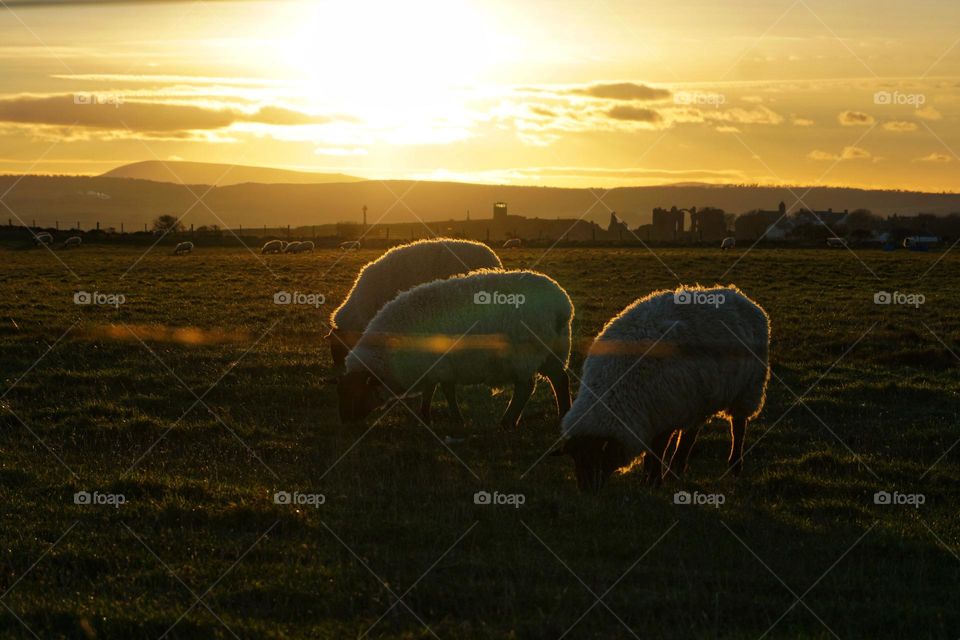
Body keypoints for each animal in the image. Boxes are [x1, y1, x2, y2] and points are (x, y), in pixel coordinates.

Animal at [338, 269, 573, 429]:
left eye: (357, 393)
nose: (346, 421)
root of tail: (562, 305)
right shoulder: (435, 365)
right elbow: (433, 389)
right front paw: (426, 416)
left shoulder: (441, 364)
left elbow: (444, 390)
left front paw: (453, 419)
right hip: (553, 352)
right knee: (560, 381)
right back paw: (561, 415)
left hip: (524, 354)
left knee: (527, 387)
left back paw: (508, 421)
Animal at [554, 285, 769, 493]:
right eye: (576, 457)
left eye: (596, 456)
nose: (587, 492)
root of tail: (740, 295)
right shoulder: (654, 413)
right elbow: (652, 451)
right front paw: (647, 480)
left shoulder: (667, 412)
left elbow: (658, 449)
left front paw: (654, 482)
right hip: (698, 399)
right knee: (691, 433)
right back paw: (677, 467)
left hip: (748, 388)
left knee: (738, 428)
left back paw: (734, 466)